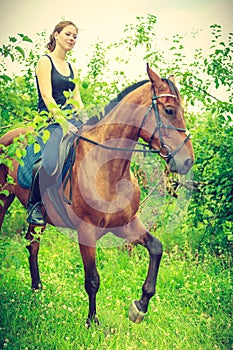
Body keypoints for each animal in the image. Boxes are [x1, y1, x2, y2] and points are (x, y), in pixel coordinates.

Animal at [0, 65, 193, 326]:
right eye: (170, 110)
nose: (187, 161)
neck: (106, 169)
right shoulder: (87, 232)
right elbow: (92, 279)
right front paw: (93, 322)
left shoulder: (126, 224)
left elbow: (156, 247)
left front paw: (140, 306)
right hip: (3, 198)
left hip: (38, 218)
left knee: (33, 244)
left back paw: (37, 289)